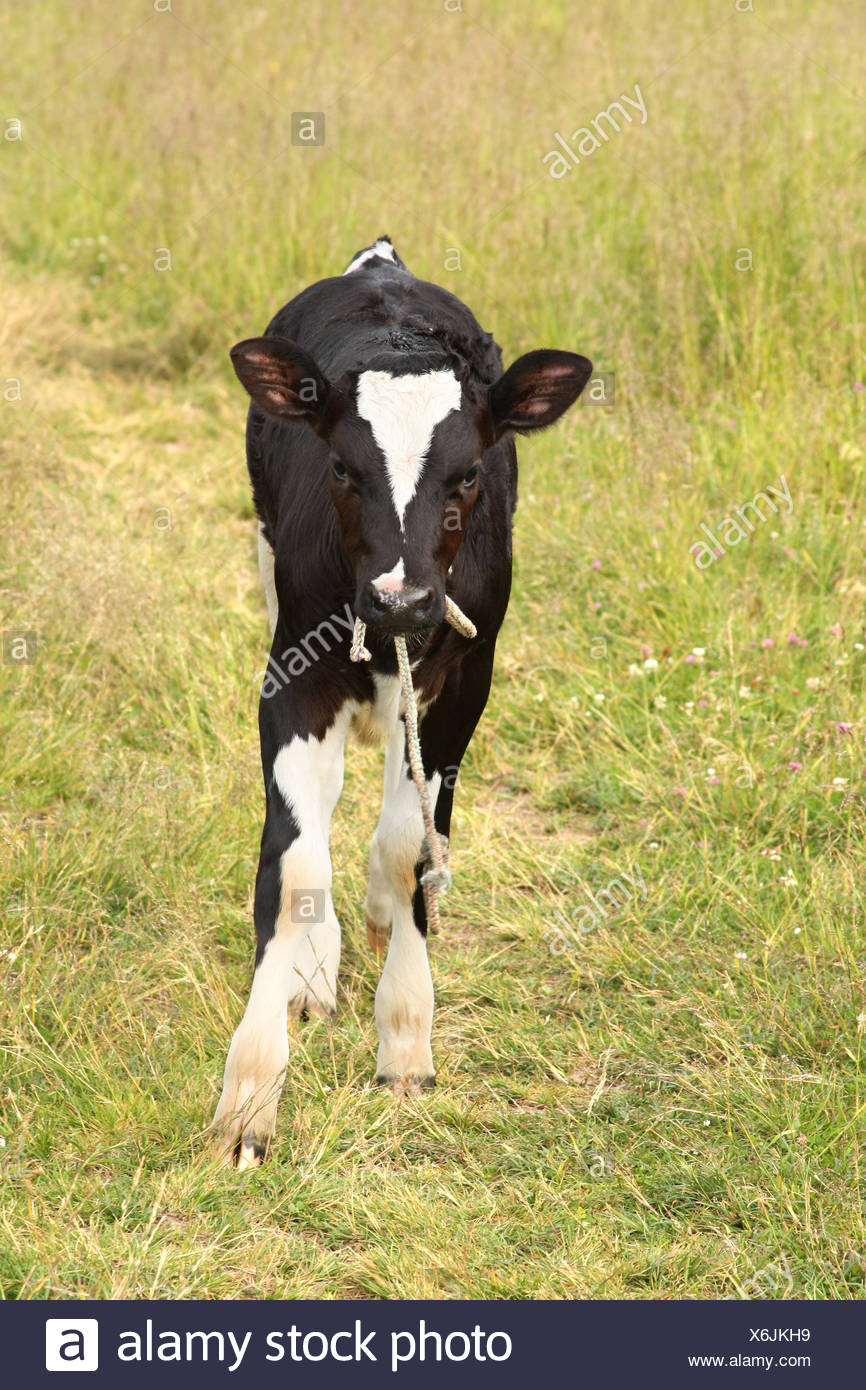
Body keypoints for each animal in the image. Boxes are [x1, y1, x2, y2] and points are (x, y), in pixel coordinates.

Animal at [212, 236, 592, 1168]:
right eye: (342, 469)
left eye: (468, 474)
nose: (400, 598)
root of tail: (381, 261)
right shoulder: (292, 673)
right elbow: (296, 864)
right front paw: (251, 1090)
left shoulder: (469, 676)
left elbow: (410, 846)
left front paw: (406, 1038)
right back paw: (316, 968)